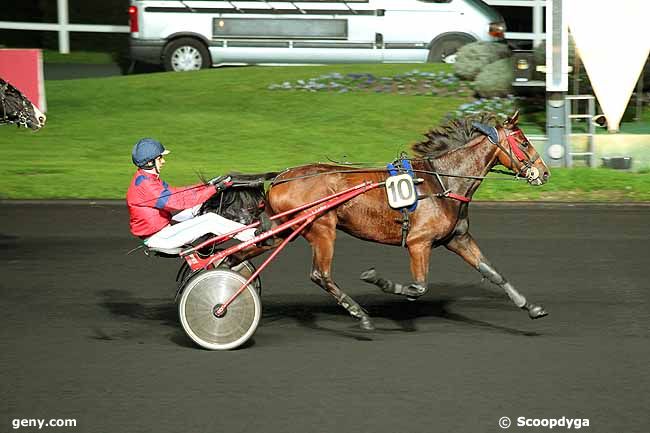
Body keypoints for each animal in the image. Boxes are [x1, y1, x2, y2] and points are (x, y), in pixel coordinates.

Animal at [256, 110, 548, 328]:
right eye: (524, 142)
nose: (544, 173)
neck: (443, 183)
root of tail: (281, 177)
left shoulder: (457, 238)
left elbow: (492, 272)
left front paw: (531, 306)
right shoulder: (419, 243)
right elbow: (418, 288)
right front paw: (377, 280)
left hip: (286, 229)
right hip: (321, 228)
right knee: (321, 274)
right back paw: (360, 314)